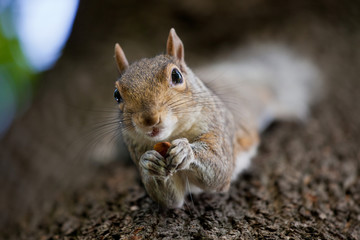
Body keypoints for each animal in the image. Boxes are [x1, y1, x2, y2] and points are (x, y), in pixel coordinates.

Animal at [112, 28, 320, 208]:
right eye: (116, 95)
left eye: (176, 75)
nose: (149, 119)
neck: (171, 135)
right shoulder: (136, 148)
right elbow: (171, 201)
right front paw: (148, 163)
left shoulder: (218, 127)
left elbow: (220, 170)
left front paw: (186, 150)